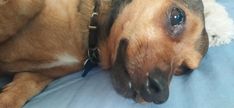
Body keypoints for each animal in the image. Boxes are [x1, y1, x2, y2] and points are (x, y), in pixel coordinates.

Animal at [0, 0, 208, 107]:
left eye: (183, 68)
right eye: (177, 16)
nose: (161, 94)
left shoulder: (36, 75)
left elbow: (19, 93)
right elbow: (23, 8)